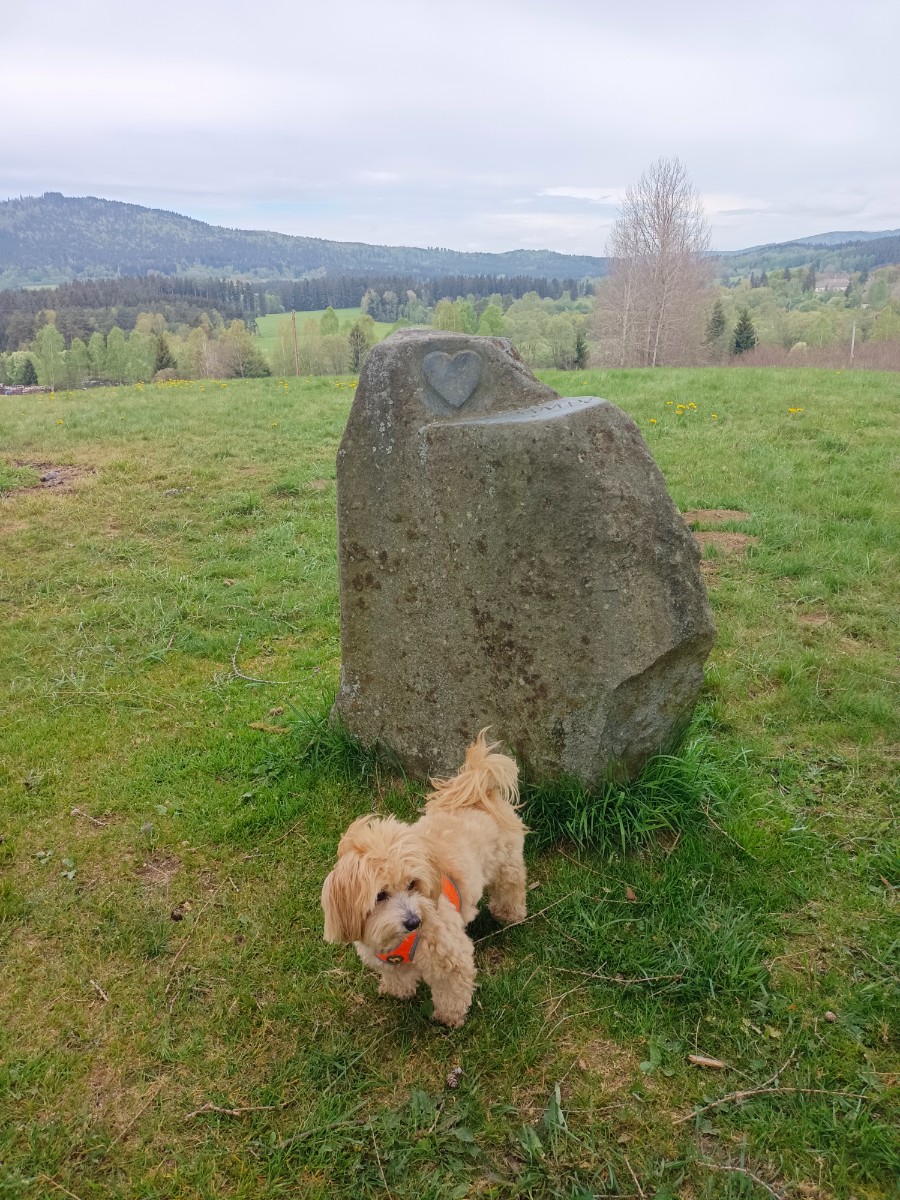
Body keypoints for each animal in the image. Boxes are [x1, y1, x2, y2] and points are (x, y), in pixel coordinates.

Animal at [321, 731, 527, 1028]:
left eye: (412, 884)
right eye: (380, 895)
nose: (414, 921)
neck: (397, 940)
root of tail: (479, 784)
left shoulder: (450, 956)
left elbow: (452, 989)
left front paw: (450, 1016)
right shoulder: (387, 960)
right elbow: (397, 975)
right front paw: (397, 991)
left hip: (506, 864)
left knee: (511, 887)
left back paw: (509, 914)